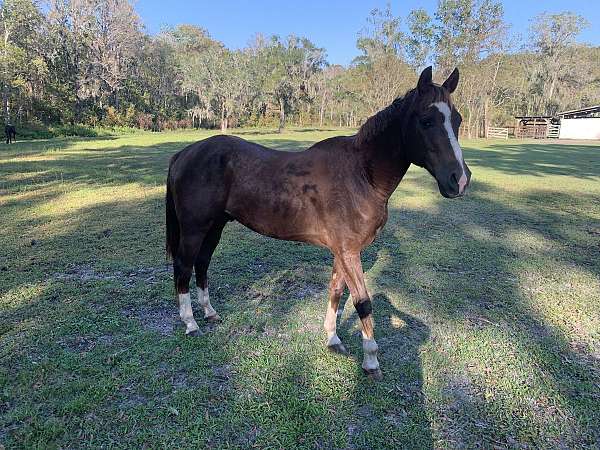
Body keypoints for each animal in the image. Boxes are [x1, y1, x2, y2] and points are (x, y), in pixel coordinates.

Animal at [166, 67, 472, 380]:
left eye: (457, 119)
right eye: (426, 120)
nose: (459, 180)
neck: (361, 174)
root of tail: (185, 153)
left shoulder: (343, 251)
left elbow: (336, 291)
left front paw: (332, 339)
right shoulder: (349, 252)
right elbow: (363, 303)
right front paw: (370, 361)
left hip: (215, 226)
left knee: (202, 264)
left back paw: (210, 313)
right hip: (194, 229)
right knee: (184, 267)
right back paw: (191, 323)